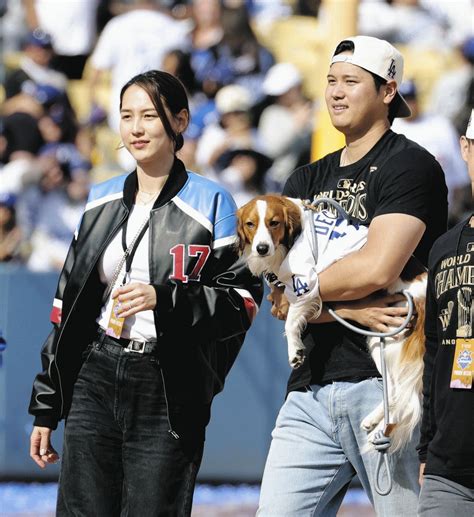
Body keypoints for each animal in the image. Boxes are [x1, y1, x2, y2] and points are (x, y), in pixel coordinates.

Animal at [239, 195, 428, 452]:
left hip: (391, 339)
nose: (262, 248)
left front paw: (295, 351)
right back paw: (373, 423)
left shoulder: (305, 284)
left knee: (403, 395)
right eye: (250, 224)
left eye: (274, 223)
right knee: (394, 391)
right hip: (380, 342)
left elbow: (291, 320)